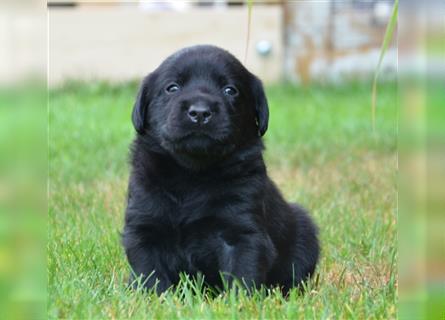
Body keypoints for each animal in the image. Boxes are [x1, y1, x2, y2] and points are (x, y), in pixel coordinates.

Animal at [121, 45, 318, 296]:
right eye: (172, 87)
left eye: (230, 90)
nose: (200, 112)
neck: (192, 175)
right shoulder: (144, 228)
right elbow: (150, 273)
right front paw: (154, 298)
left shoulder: (242, 233)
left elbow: (242, 273)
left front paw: (241, 301)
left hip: (305, 232)